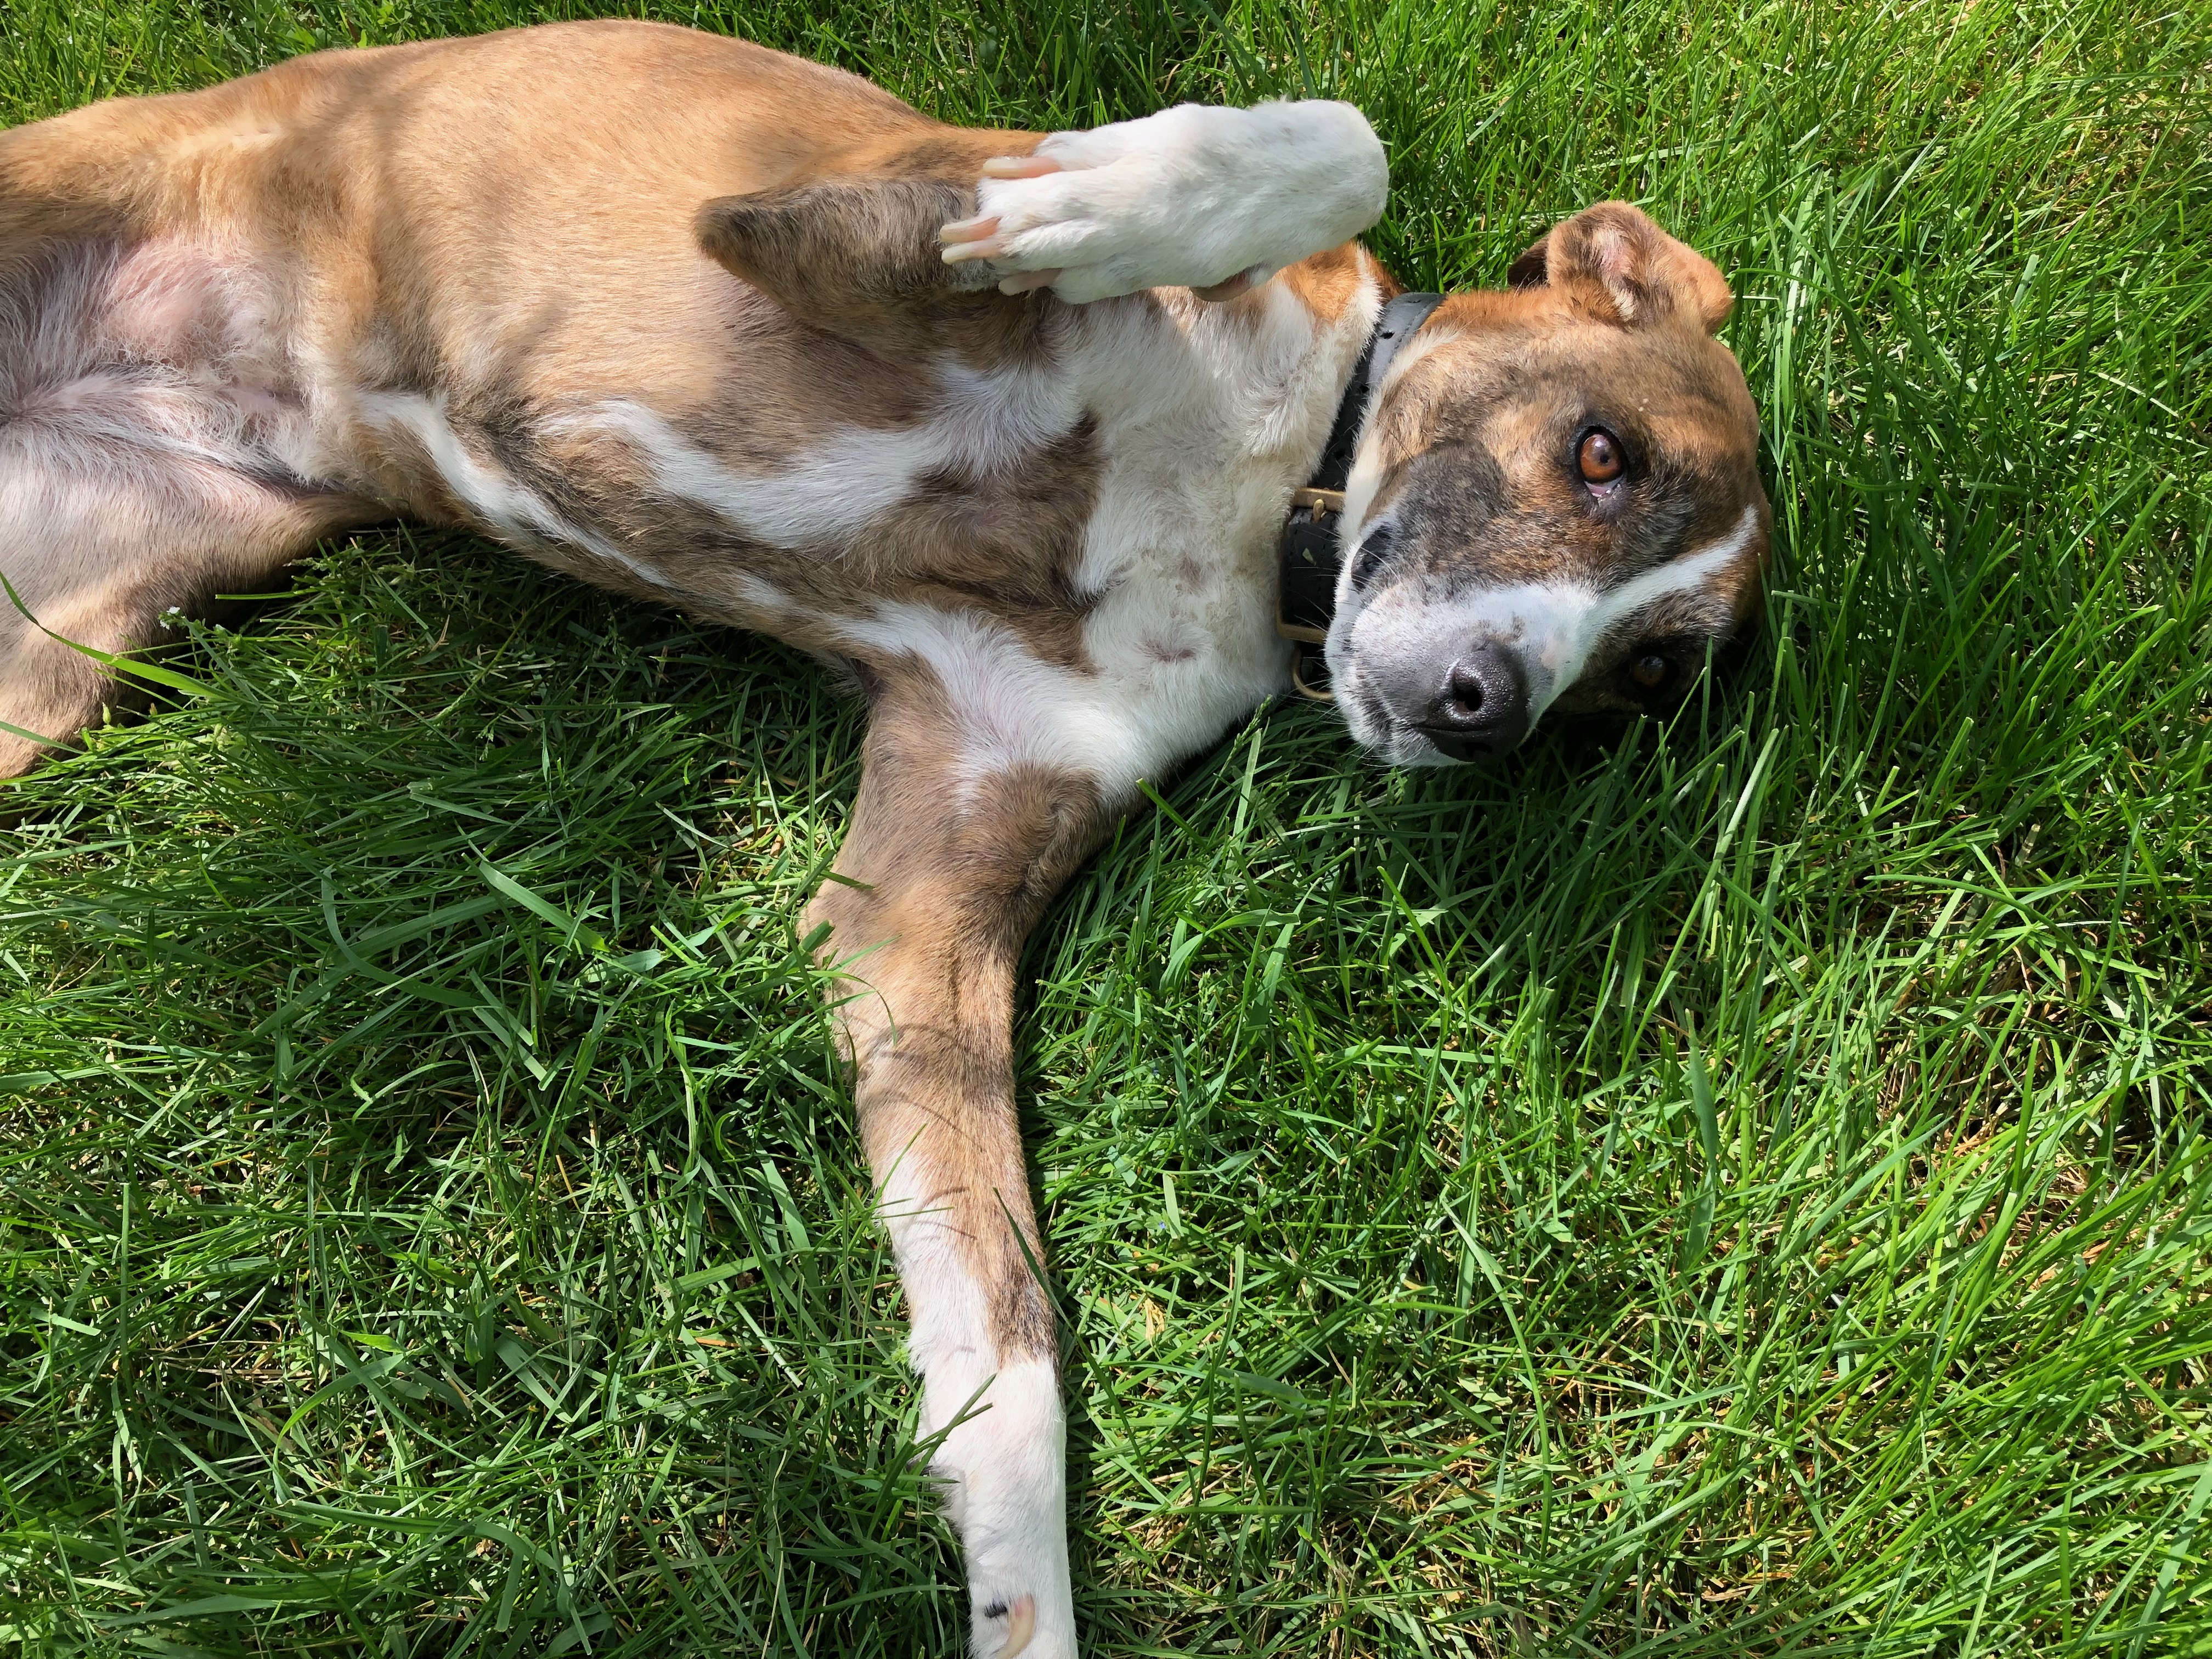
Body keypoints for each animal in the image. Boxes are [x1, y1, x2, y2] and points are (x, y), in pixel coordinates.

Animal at [0, 19, 1760, 1654]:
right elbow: (1345, 139)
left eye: (1651, 678)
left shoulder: (916, 923)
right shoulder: (823, 213)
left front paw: (1021, 1608)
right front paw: (1106, 201)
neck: (1267, 496)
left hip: (46, 669)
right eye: (1602, 453)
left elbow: (1012, 1366)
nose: (1485, 709)